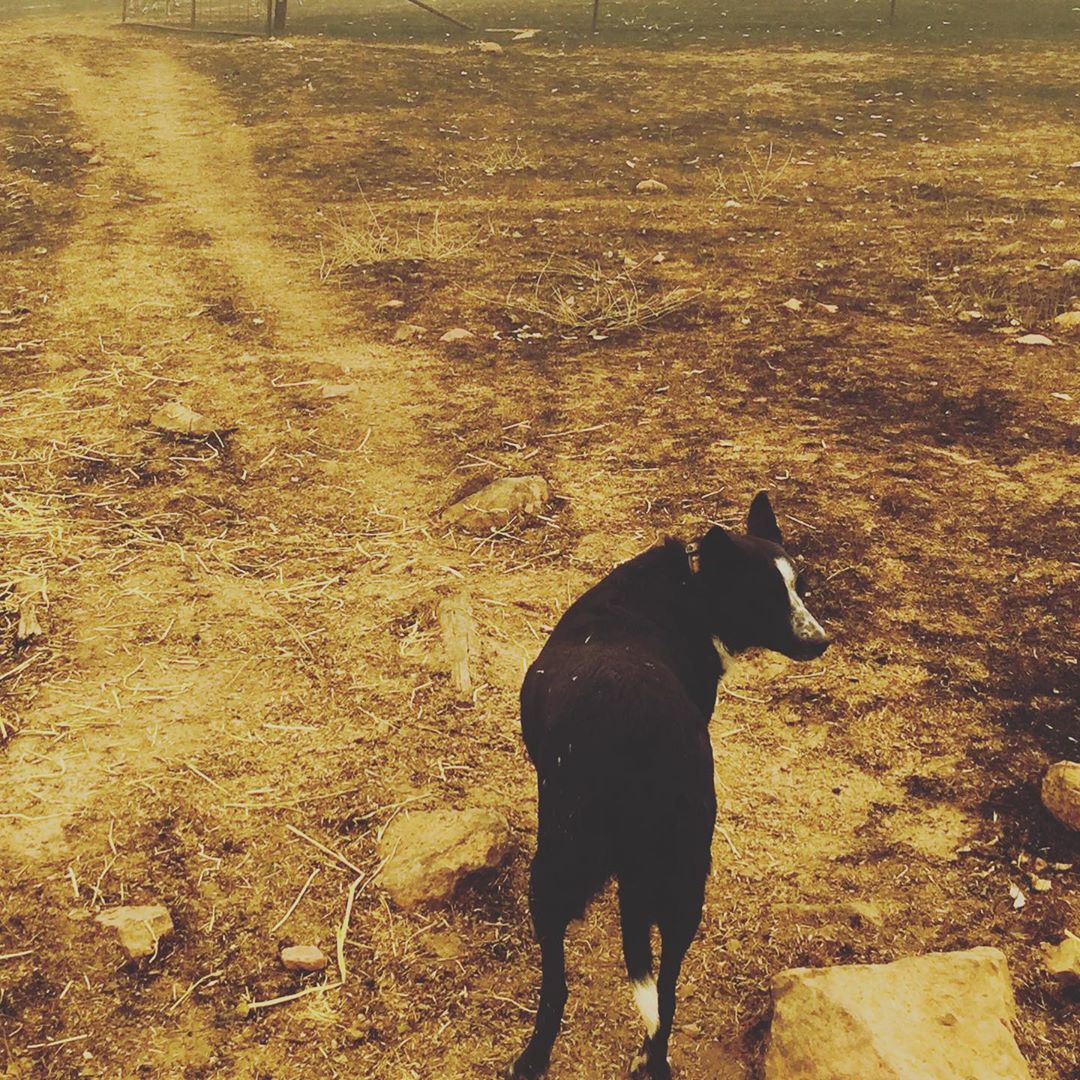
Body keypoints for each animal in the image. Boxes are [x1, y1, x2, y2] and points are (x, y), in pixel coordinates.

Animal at [509, 494, 829, 1075]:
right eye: (770, 594)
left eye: (800, 586)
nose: (822, 641)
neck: (693, 589)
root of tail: (638, 750)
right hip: (683, 883)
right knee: (665, 992)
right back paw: (652, 1061)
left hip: (556, 867)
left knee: (558, 985)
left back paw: (535, 1056)